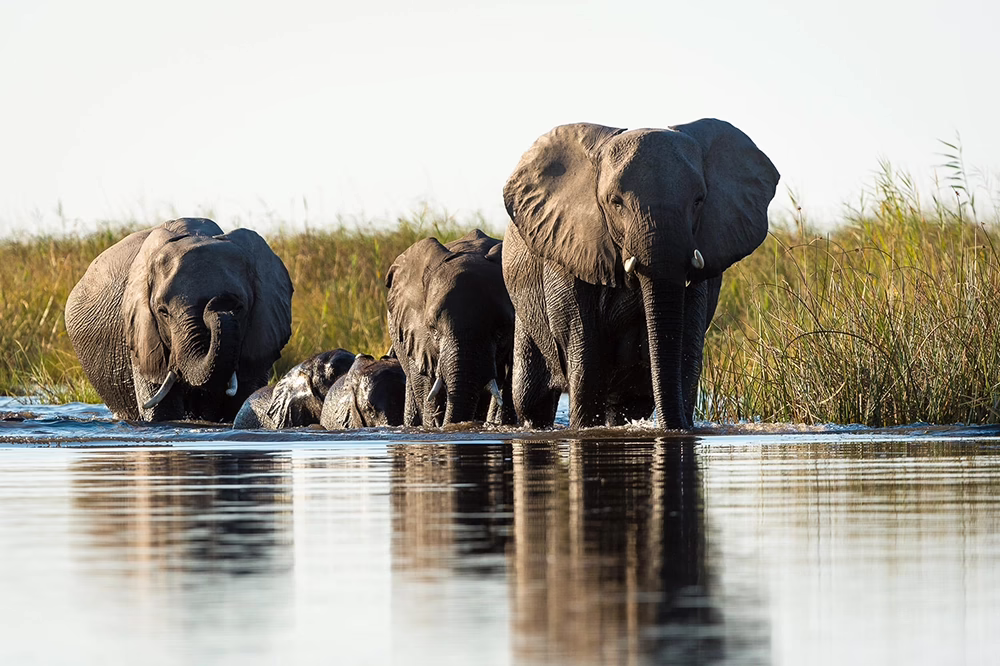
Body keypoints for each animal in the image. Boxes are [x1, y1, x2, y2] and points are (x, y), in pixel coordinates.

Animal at [502, 119, 779, 429]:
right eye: (615, 202)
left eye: (699, 200)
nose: (678, 426)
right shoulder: (568, 251)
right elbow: (585, 353)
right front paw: (584, 428)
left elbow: (686, 347)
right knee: (530, 399)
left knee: (629, 401)